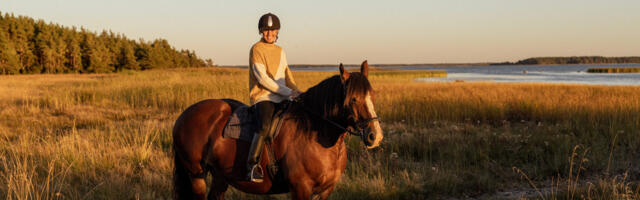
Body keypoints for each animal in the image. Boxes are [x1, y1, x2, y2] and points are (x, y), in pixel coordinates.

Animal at [171, 61, 384, 200]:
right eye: (353, 99)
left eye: (373, 95)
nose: (375, 136)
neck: (315, 134)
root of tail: (185, 115)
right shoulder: (301, 189)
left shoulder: (325, 190)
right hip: (195, 174)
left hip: (220, 177)